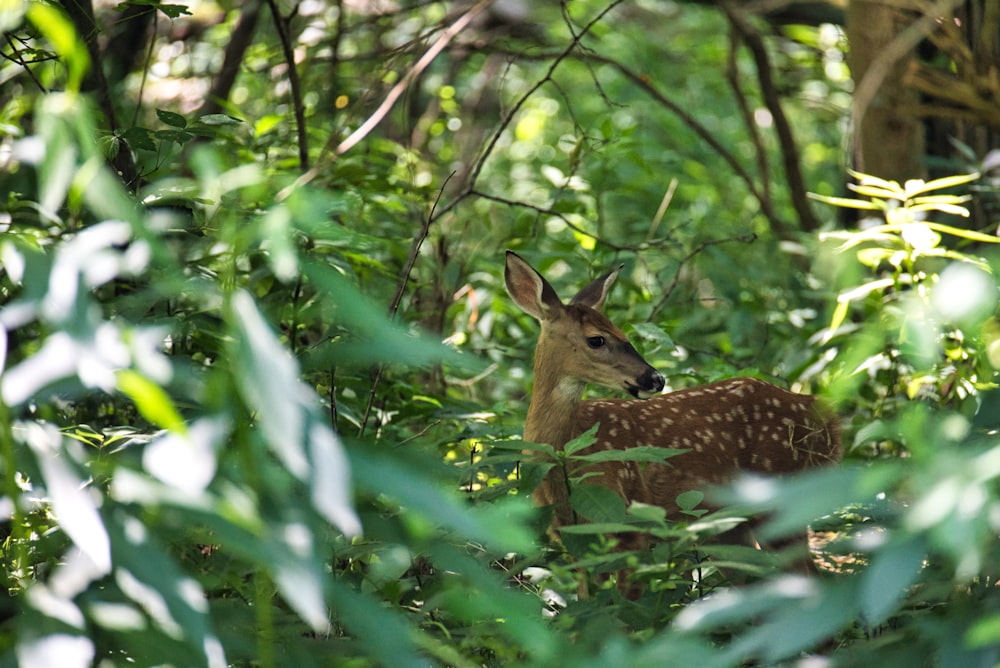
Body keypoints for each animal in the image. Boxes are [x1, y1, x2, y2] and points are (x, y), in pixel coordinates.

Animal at [504, 250, 840, 576]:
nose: (656, 379)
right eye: (596, 339)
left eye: (623, 331)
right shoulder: (576, 541)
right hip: (728, 525)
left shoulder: (628, 522)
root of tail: (826, 419)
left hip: (780, 494)